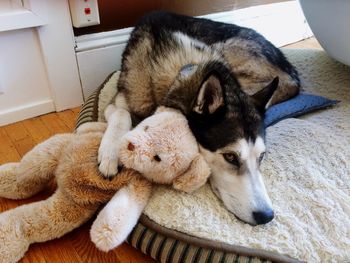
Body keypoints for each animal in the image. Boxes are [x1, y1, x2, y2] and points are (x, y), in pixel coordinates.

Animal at [98, 11, 300, 226]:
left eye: (261, 156)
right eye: (230, 157)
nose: (266, 216)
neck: (187, 70)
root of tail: (293, 76)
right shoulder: (119, 99)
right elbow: (122, 113)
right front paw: (110, 154)